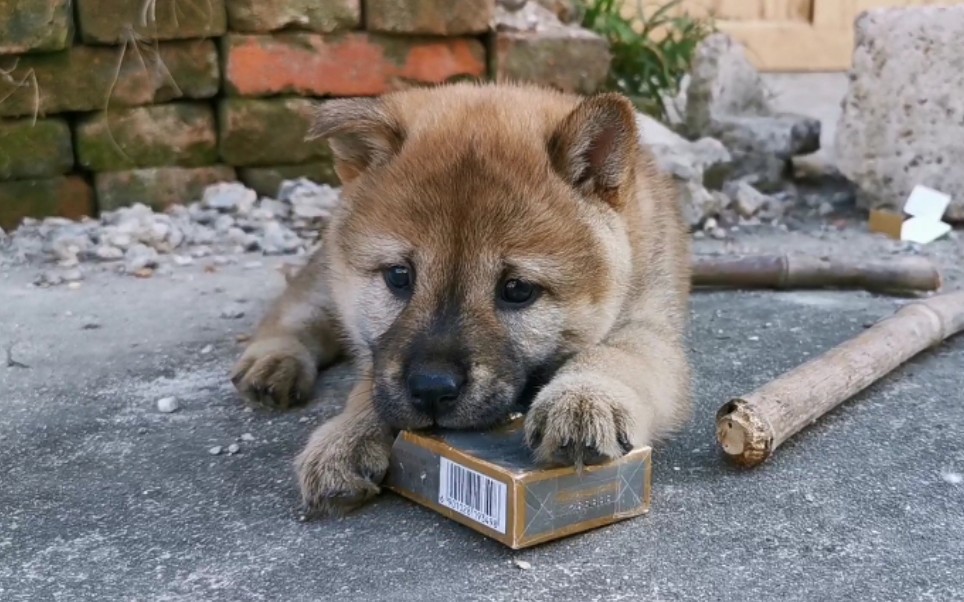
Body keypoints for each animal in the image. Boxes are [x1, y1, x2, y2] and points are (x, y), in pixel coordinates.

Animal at [232, 81, 692, 516]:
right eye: (399, 276)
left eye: (517, 290)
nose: (431, 389)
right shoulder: (380, 356)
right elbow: (371, 382)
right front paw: (347, 436)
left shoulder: (649, 323)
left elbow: (619, 355)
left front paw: (584, 398)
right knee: (296, 309)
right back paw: (274, 359)